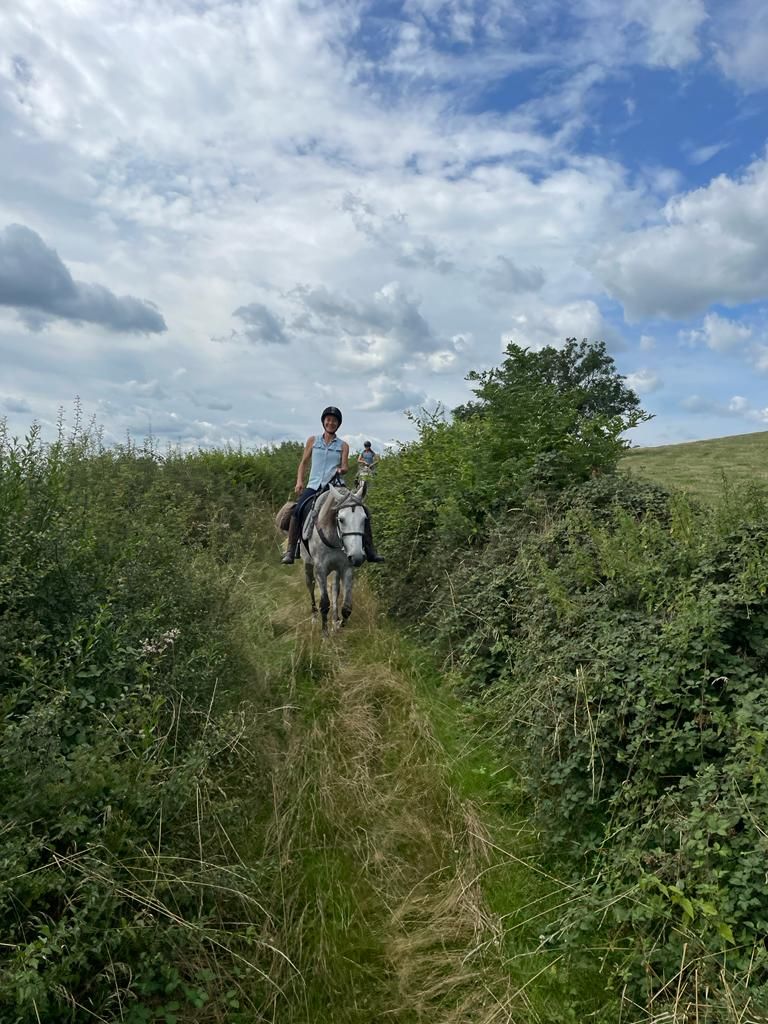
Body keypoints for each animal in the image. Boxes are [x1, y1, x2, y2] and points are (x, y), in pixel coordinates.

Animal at [301, 477, 370, 630]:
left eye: (364, 519)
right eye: (341, 519)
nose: (357, 557)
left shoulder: (346, 568)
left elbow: (347, 606)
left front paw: (339, 626)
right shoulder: (320, 569)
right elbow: (324, 603)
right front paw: (325, 633)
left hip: (336, 570)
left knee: (335, 590)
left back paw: (335, 619)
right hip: (308, 563)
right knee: (310, 584)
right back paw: (314, 616)